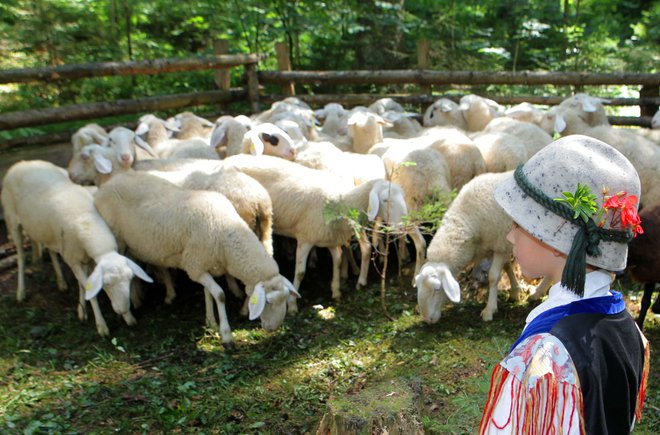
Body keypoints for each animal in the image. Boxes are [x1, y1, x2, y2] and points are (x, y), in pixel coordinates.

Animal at [0, 161, 152, 338]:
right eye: (106, 284)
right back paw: (21, 292)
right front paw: (101, 325)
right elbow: (88, 288)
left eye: (130, 278)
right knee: (21, 258)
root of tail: (23, 163)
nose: (123, 309)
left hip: (46, 230)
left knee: (51, 251)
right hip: (12, 220)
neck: (87, 222)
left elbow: (84, 285)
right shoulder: (73, 260)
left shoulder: (85, 258)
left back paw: (61, 282)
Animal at [93, 169, 300, 348]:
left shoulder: (203, 264)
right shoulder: (194, 266)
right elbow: (220, 295)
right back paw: (127, 312)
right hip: (118, 239)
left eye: (285, 299)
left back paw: (136, 298)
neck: (225, 232)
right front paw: (226, 335)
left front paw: (210, 321)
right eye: (269, 302)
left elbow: (208, 292)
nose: (273, 328)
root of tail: (107, 185)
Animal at [222, 153, 410, 314]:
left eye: (402, 196)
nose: (404, 224)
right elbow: (300, 272)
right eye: (385, 200)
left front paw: (336, 291)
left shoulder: (331, 238)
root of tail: (228, 158)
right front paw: (292, 305)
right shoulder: (306, 238)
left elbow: (338, 260)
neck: (341, 201)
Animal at [416, 170, 524, 324]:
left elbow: (493, 276)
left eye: (437, 289)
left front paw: (489, 310)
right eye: (418, 286)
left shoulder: (500, 243)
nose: (428, 320)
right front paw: (515, 291)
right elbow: (507, 266)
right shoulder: (500, 246)